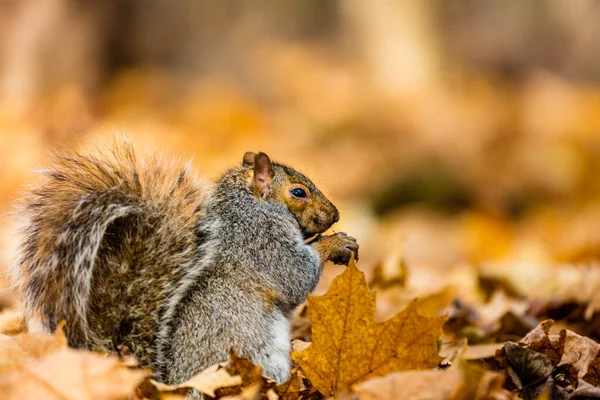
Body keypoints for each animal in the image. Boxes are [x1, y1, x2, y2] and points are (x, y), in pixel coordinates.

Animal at [10, 139, 356, 390]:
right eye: (299, 192)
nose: (336, 214)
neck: (247, 209)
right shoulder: (264, 243)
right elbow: (297, 276)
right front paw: (335, 243)